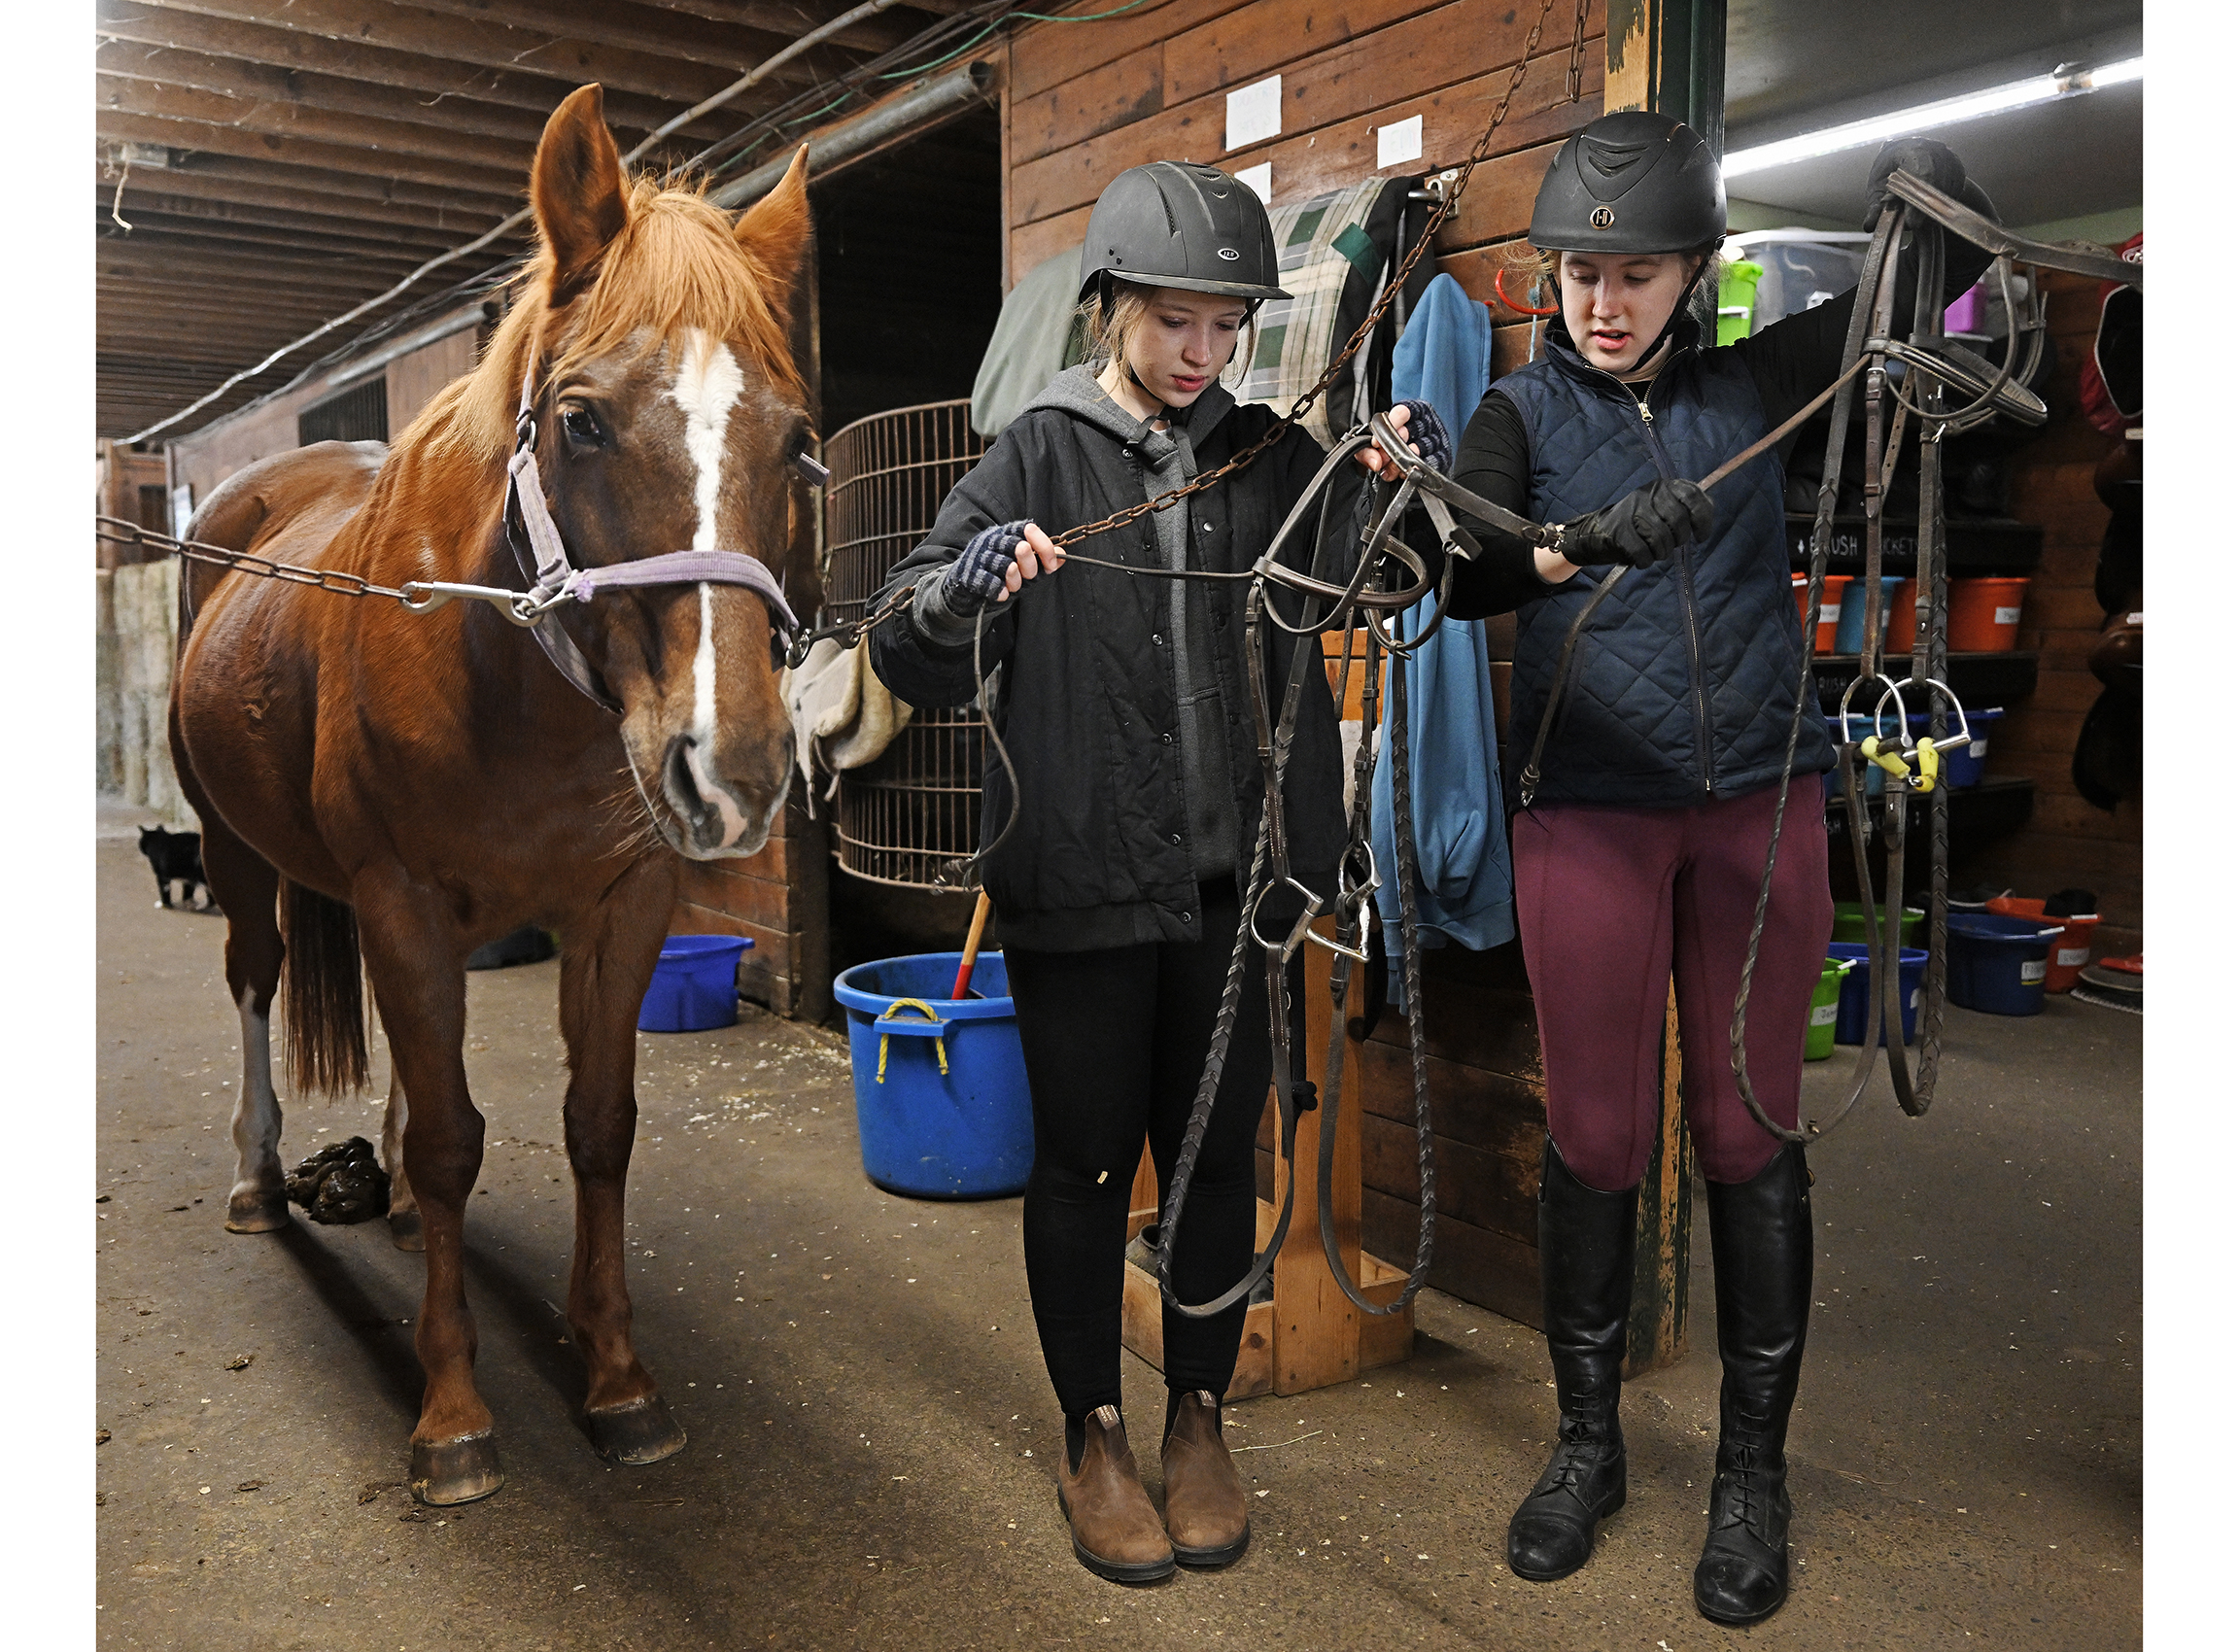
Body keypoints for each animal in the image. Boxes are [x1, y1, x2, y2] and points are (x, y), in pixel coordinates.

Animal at [167, 85, 819, 1507]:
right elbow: (460, 1143)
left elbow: (597, 1123)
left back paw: (403, 1208)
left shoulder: (621, 903)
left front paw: (618, 1380)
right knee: (251, 981)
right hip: (240, 856)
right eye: (580, 419)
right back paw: (258, 1177)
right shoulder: (400, 901)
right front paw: (454, 1415)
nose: (734, 771)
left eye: (799, 441)